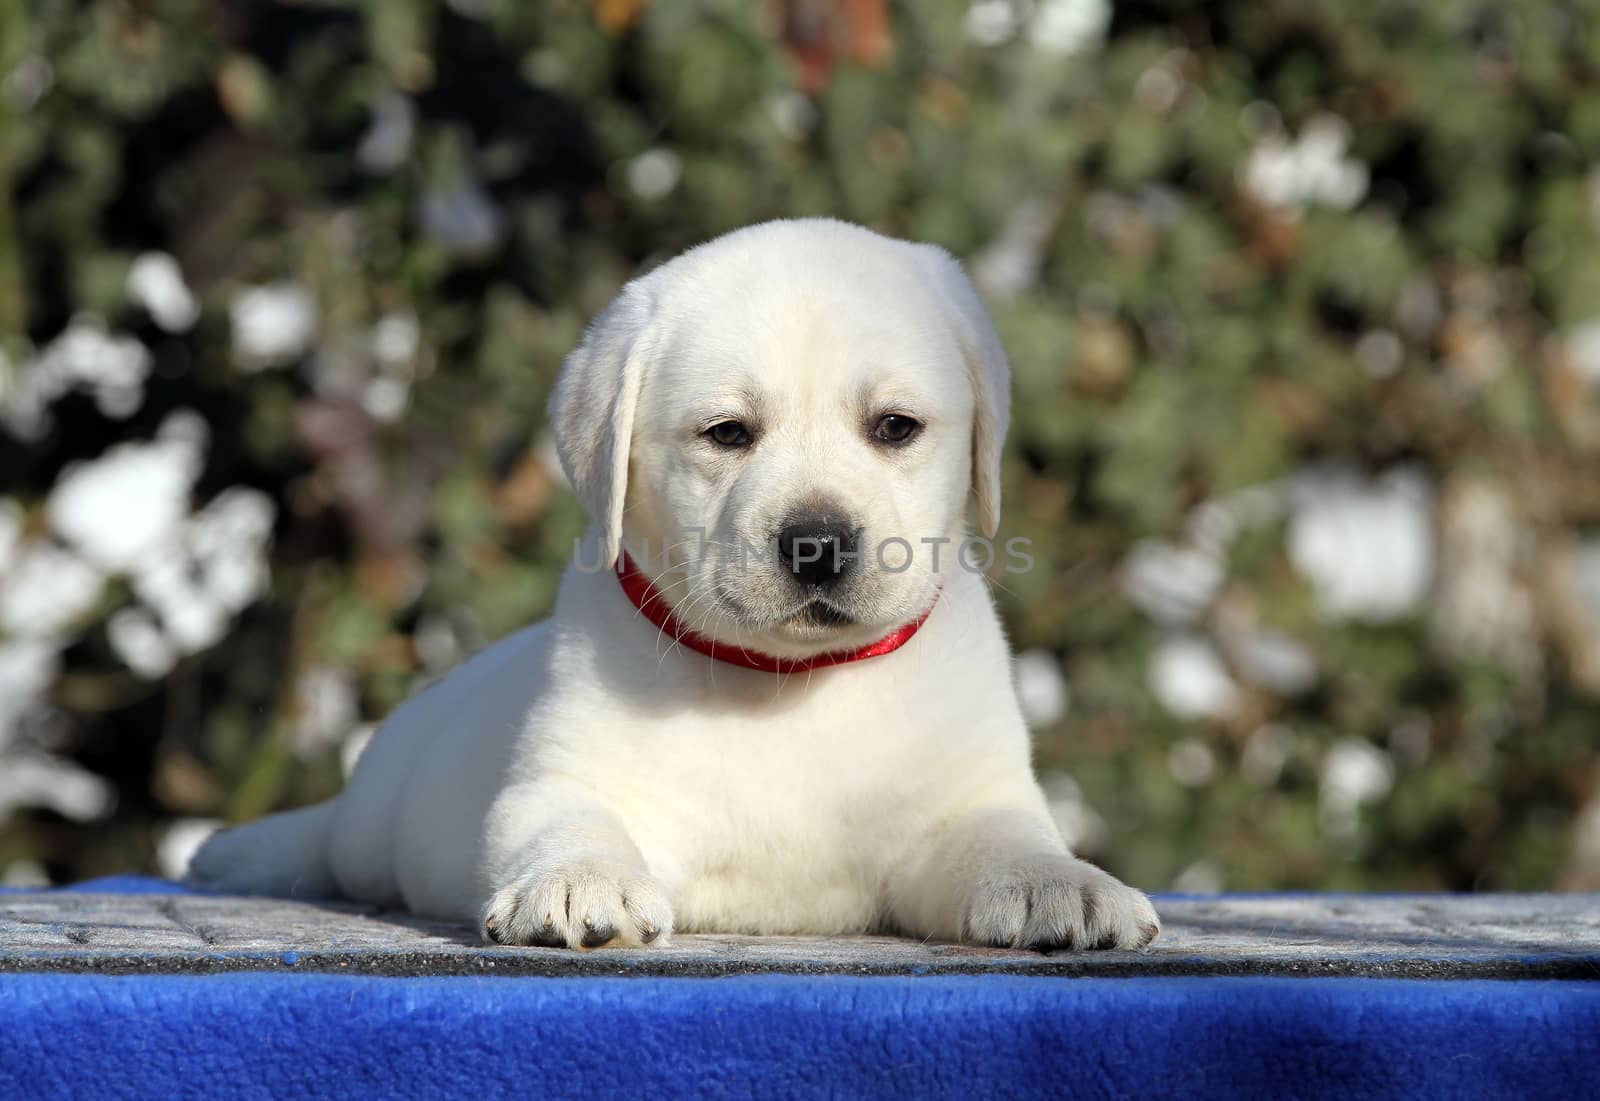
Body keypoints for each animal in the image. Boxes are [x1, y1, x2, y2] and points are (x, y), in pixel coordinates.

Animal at [190, 219, 1164, 947]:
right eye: (727, 433)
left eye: (895, 426)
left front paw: (1063, 884)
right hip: (369, 832)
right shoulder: (562, 778)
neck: (789, 687)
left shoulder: (967, 801)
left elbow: (1008, 840)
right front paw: (581, 883)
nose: (818, 544)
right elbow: (569, 822)